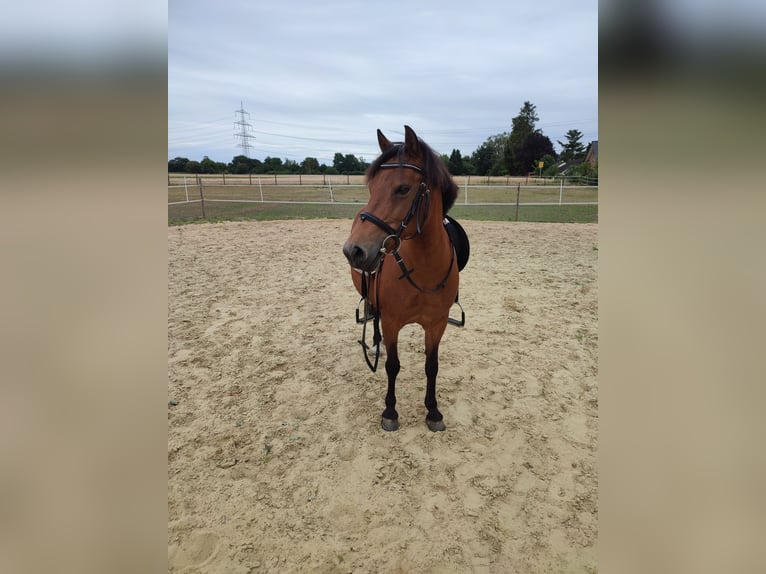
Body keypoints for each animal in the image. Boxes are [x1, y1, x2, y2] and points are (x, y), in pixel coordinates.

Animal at [342, 125, 466, 432]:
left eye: (403, 189)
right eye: (372, 187)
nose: (354, 250)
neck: (423, 269)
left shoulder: (436, 325)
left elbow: (432, 366)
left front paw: (433, 411)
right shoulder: (392, 322)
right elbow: (393, 366)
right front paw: (390, 411)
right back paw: (376, 343)